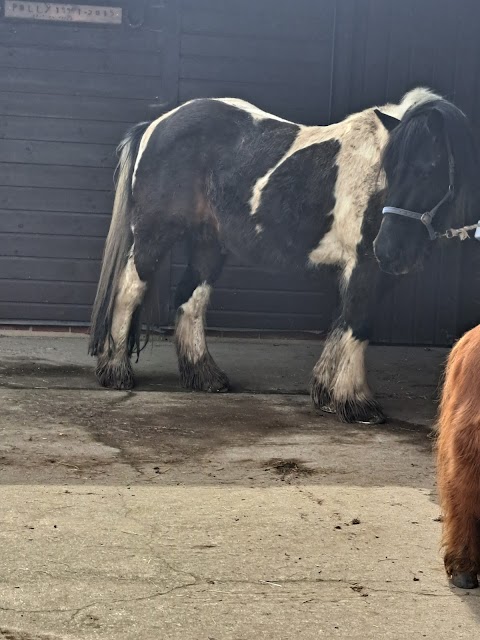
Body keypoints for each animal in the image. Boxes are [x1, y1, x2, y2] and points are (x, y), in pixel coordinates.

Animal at [89, 86, 476, 424]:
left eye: (428, 169)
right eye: (389, 170)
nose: (389, 250)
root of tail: (155, 125)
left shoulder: (373, 272)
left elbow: (344, 323)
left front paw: (327, 394)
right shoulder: (366, 266)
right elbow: (357, 323)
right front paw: (356, 403)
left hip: (208, 243)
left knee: (190, 299)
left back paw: (205, 376)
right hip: (154, 235)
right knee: (130, 291)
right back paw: (116, 371)